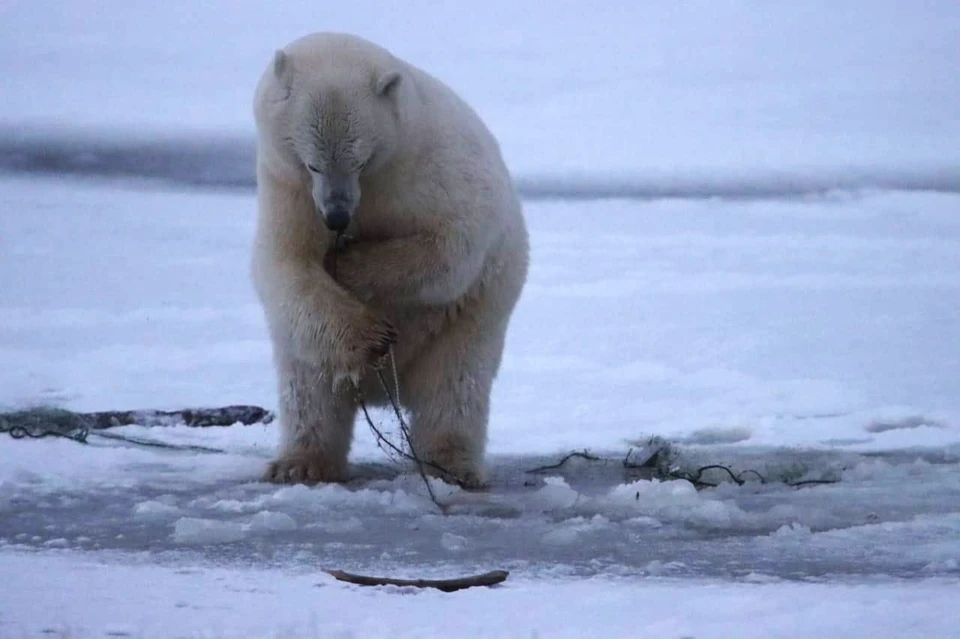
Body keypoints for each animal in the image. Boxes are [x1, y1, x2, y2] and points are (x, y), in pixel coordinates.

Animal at [251, 32, 528, 488]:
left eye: (360, 160)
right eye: (313, 164)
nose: (337, 217)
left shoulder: (432, 167)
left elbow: (452, 245)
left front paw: (351, 265)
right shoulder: (288, 189)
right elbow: (287, 268)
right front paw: (373, 337)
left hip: (469, 323)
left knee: (454, 388)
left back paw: (451, 466)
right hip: (306, 352)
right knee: (310, 390)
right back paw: (300, 464)